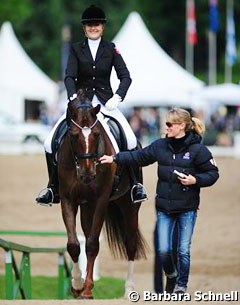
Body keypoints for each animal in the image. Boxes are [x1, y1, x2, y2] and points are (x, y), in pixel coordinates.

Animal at [57, 92, 146, 296]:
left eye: (97, 134)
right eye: (74, 135)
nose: (88, 174)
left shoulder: (100, 201)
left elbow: (92, 245)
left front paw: (87, 289)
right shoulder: (68, 200)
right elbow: (74, 245)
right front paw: (77, 285)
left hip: (129, 206)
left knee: (130, 243)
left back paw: (128, 289)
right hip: (86, 207)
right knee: (87, 233)